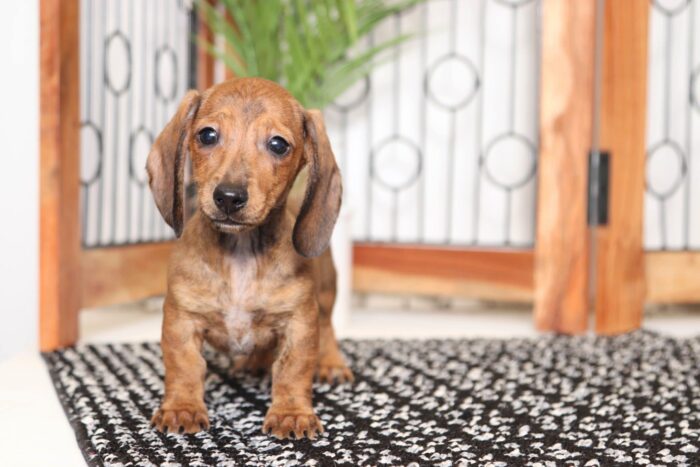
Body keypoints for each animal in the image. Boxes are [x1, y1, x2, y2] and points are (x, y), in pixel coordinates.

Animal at [148, 77, 356, 438]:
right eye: (207, 135)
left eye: (278, 144)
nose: (229, 197)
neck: (240, 254)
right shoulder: (181, 320)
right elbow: (184, 365)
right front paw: (182, 407)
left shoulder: (299, 322)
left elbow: (292, 369)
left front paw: (291, 413)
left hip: (327, 290)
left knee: (328, 327)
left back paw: (331, 363)